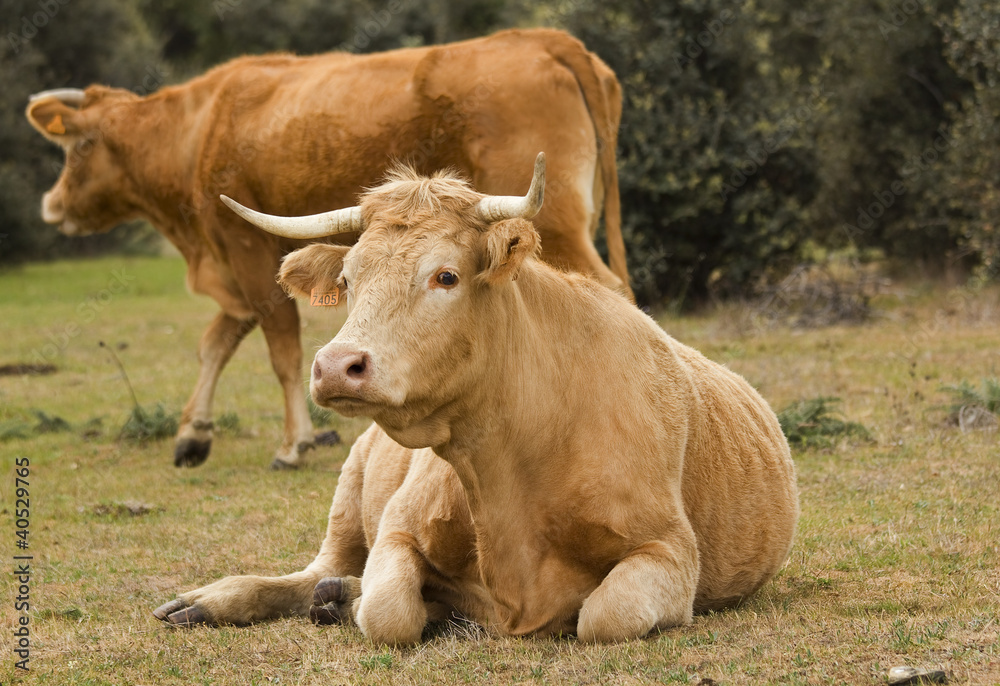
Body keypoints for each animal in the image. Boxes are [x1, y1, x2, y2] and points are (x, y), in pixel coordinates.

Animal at [27, 26, 628, 468]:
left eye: (79, 146)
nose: (50, 204)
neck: (197, 128)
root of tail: (543, 38)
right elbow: (216, 342)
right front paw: (193, 433)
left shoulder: (246, 248)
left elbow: (280, 346)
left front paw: (295, 443)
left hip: (560, 227)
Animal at [154, 153, 796, 644]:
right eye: (348, 280)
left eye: (446, 276)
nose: (337, 366)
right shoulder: (398, 525)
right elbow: (388, 612)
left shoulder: (670, 549)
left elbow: (604, 615)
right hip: (348, 494)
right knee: (313, 573)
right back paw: (219, 600)